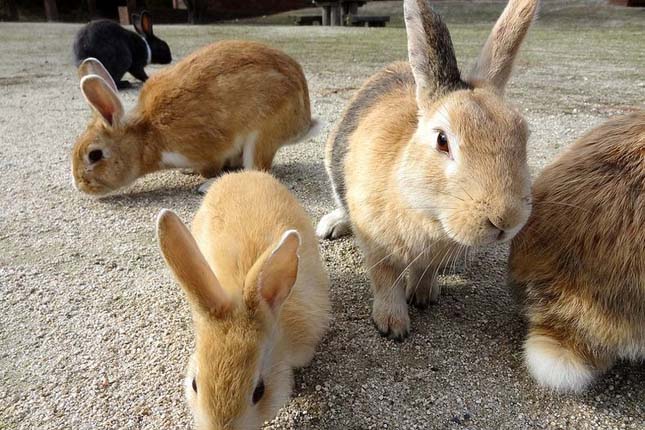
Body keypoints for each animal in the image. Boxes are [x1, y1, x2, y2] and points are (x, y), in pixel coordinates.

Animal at [71, 41, 316, 196]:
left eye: (94, 155)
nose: (79, 184)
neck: (145, 137)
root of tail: (303, 120)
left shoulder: (205, 150)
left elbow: (211, 166)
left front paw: (204, 178)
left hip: (260, 135)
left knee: (255, 168)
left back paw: (208, 186)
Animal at [316, 0, 540, 340]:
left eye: (523, 134)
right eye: (442, 140)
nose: (505, 220)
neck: (428, 215)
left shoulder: (431, 255)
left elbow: (426, 271)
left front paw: (423, 296)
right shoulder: (377, 246)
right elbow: (385, 281)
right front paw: (392, 325)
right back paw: (330, 226)